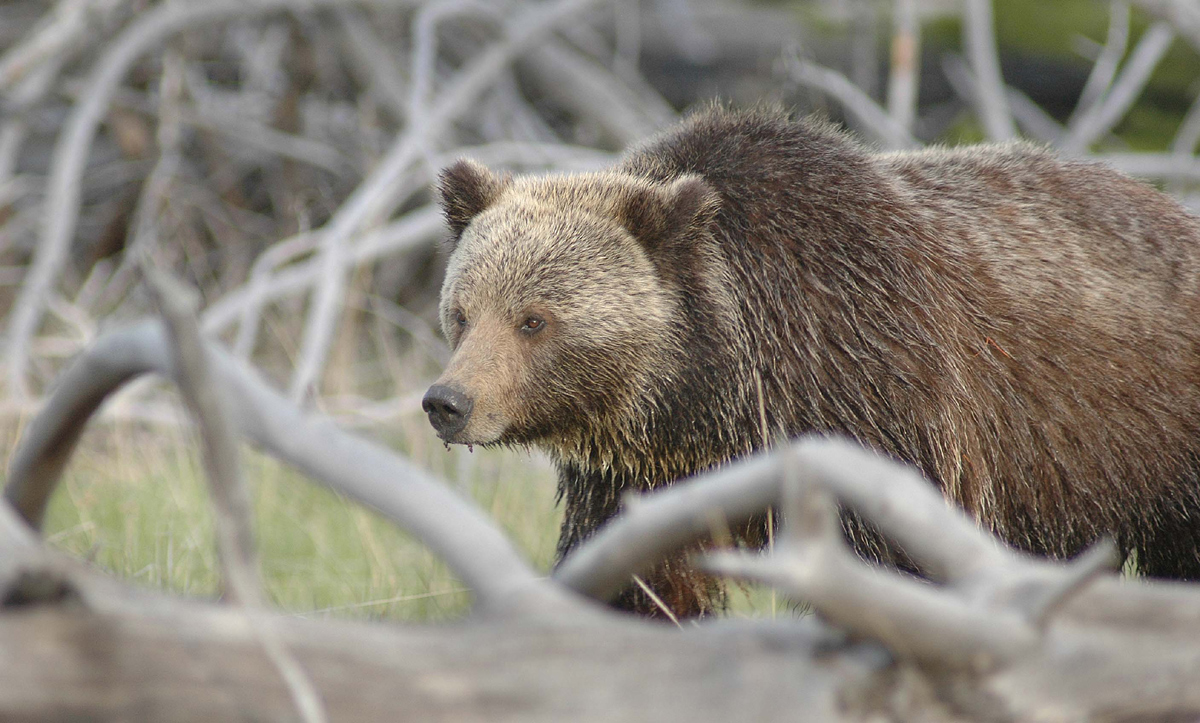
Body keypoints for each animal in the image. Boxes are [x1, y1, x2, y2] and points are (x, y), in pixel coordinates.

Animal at [422, 104, 1200, 618]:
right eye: (462, 311)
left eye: (534, 320)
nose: (447, 402)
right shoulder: (638, 477)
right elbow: (641, 583)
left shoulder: (875, 394)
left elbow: (897, 569)